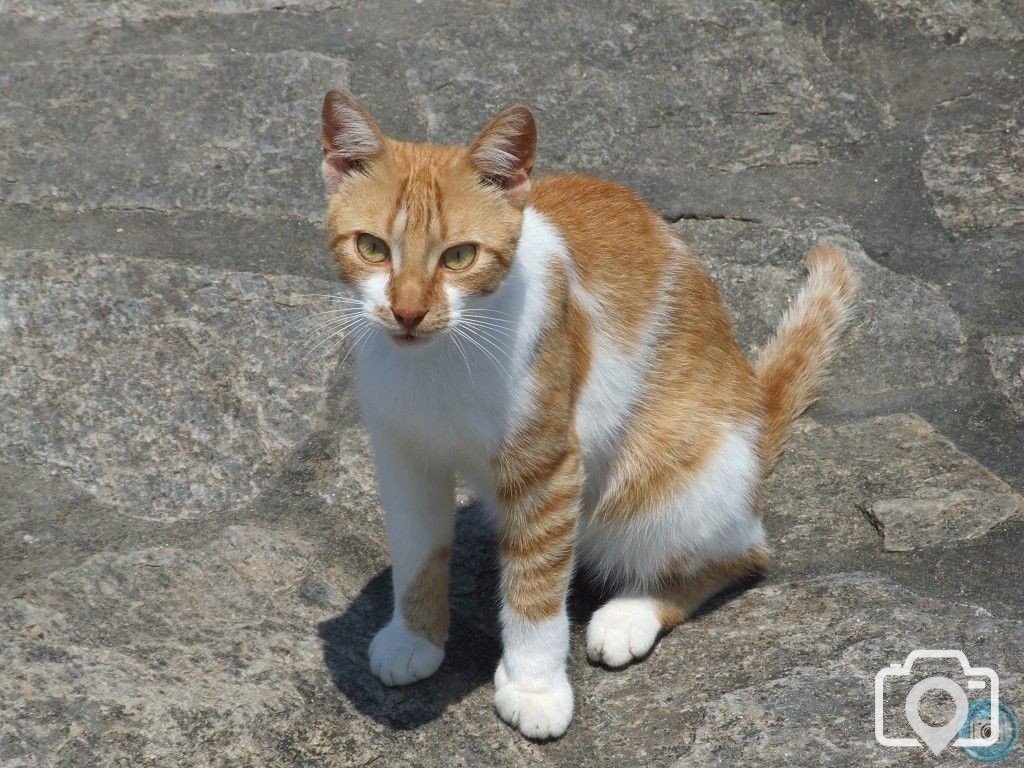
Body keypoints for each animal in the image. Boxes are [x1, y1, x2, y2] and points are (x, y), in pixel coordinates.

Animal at [313, 88, 856, 741]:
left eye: (459, 257)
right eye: (371, 247)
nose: (409, 313)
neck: (442, 356)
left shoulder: (549, 470)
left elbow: (538, 585)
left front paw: (534, 685)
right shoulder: (404, 458)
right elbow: (419, 554)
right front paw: (414, 636)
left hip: (666, 482)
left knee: (738, 552)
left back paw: (629, 614)